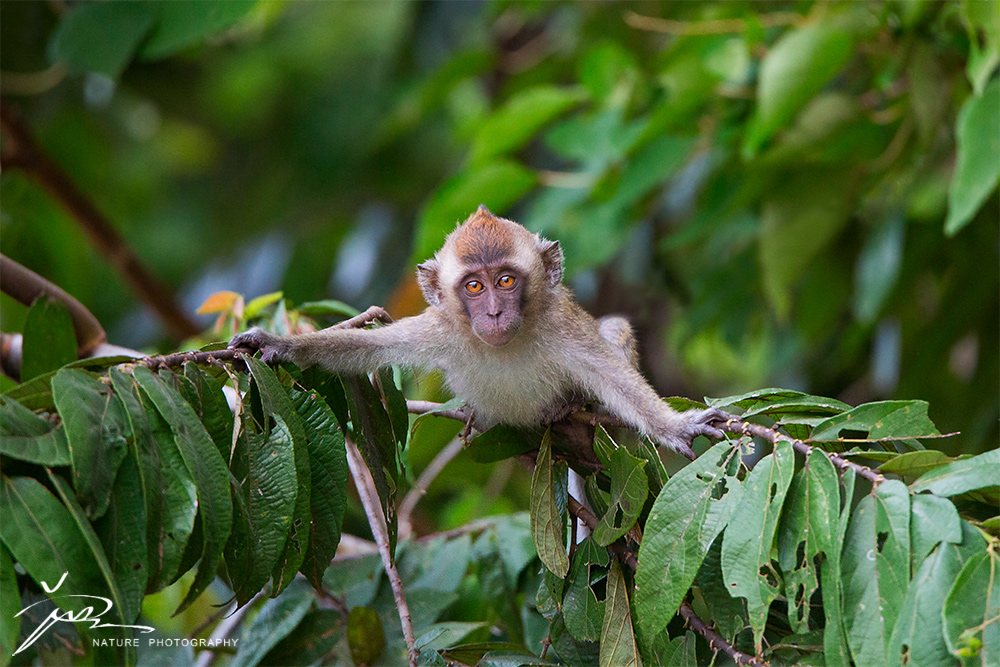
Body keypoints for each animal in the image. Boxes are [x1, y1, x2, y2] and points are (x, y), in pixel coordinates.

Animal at [229, 206, 724, 456]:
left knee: (616, 329)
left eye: (505, 281)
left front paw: (677, 426)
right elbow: (362, 348)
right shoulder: (440, 329)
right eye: (474, 286)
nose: (493, 313)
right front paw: (278, 344)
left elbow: (614, 378)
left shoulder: (561, 328)